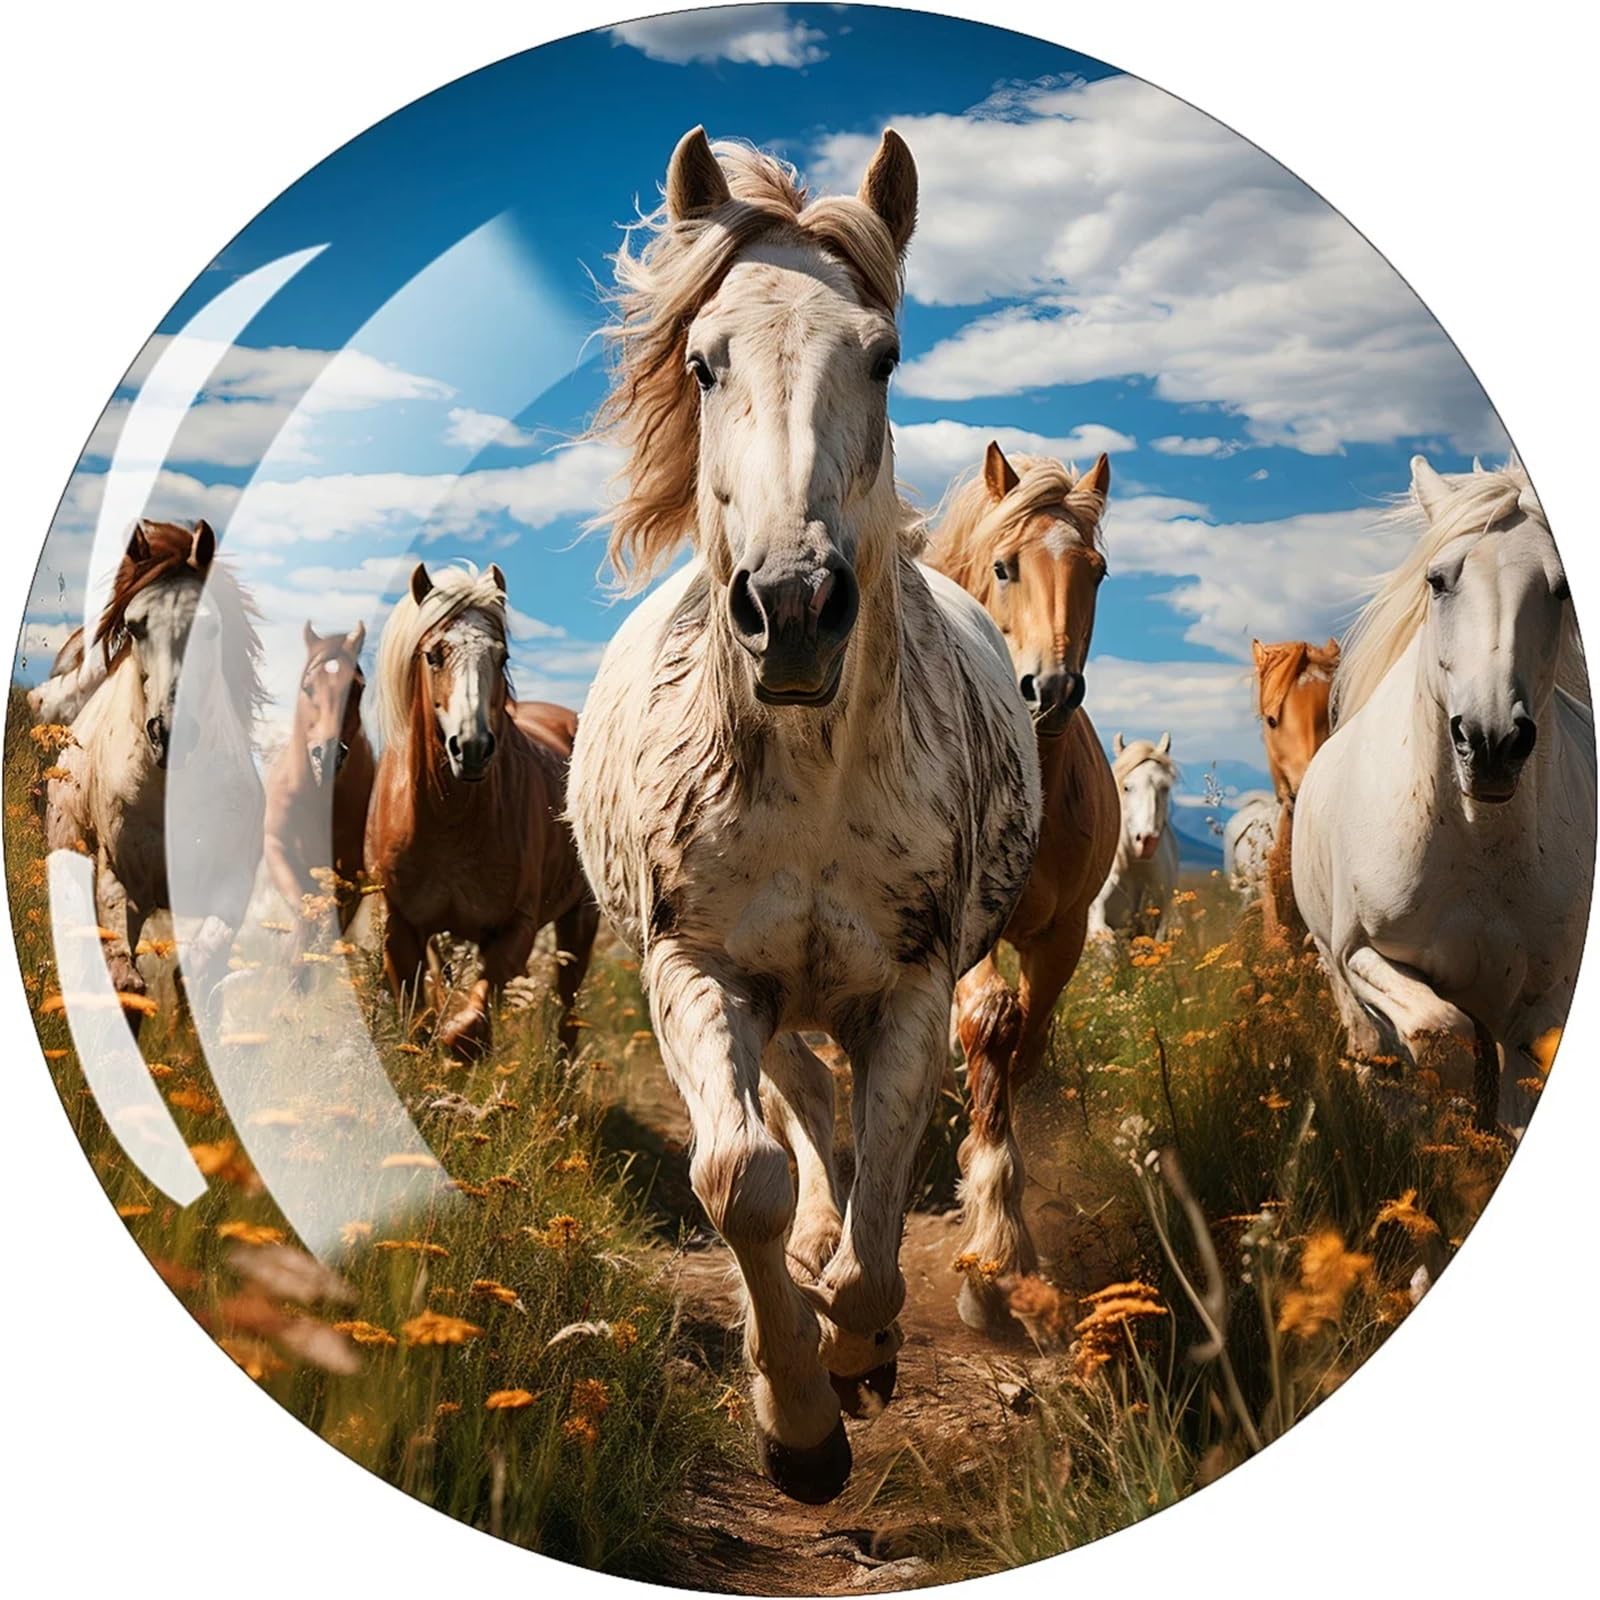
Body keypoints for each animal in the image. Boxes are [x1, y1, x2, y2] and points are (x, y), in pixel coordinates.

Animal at [45, 518, 264, 1026]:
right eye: (133, 626)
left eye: (210, 627)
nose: (169, 732)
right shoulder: (120, 881)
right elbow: (126, 982)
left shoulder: (232, 887)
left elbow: (200, 969)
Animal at [263, 621, 374, 947]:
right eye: (308, 687)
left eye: (358, 687)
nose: (327, 755)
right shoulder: (277, 851)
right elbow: (305, 917)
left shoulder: (350, 872)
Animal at [365, 561, 597, 1059]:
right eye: (434, 655)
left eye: (503, 656)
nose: (472, 748)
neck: (449, 822)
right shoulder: (399, 929)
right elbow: (420, 1021)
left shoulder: (515, 929)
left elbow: (465, 1029)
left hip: (580, 920)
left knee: (567, 1011)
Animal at [568, 129, 1039, 1503]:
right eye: (703, 360)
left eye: (881, 355)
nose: (791, 608)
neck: (812, 780)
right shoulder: (698, 967)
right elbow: (745, 1179)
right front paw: (796, 1421)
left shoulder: (914, 987)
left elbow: (885, 1197)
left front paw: (858, 1346)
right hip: (770, 1003)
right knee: (801, 1121)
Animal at [1293, 455, 1594, 1131]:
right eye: (1437, 580)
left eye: (1562, 588)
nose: (1491, 742)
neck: (1477, 838)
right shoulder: (1361, 955)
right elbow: (1438, 1033)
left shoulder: (1545, 1000)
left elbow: (1515, 1096)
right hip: (1335, 968)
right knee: (1374, 1054)